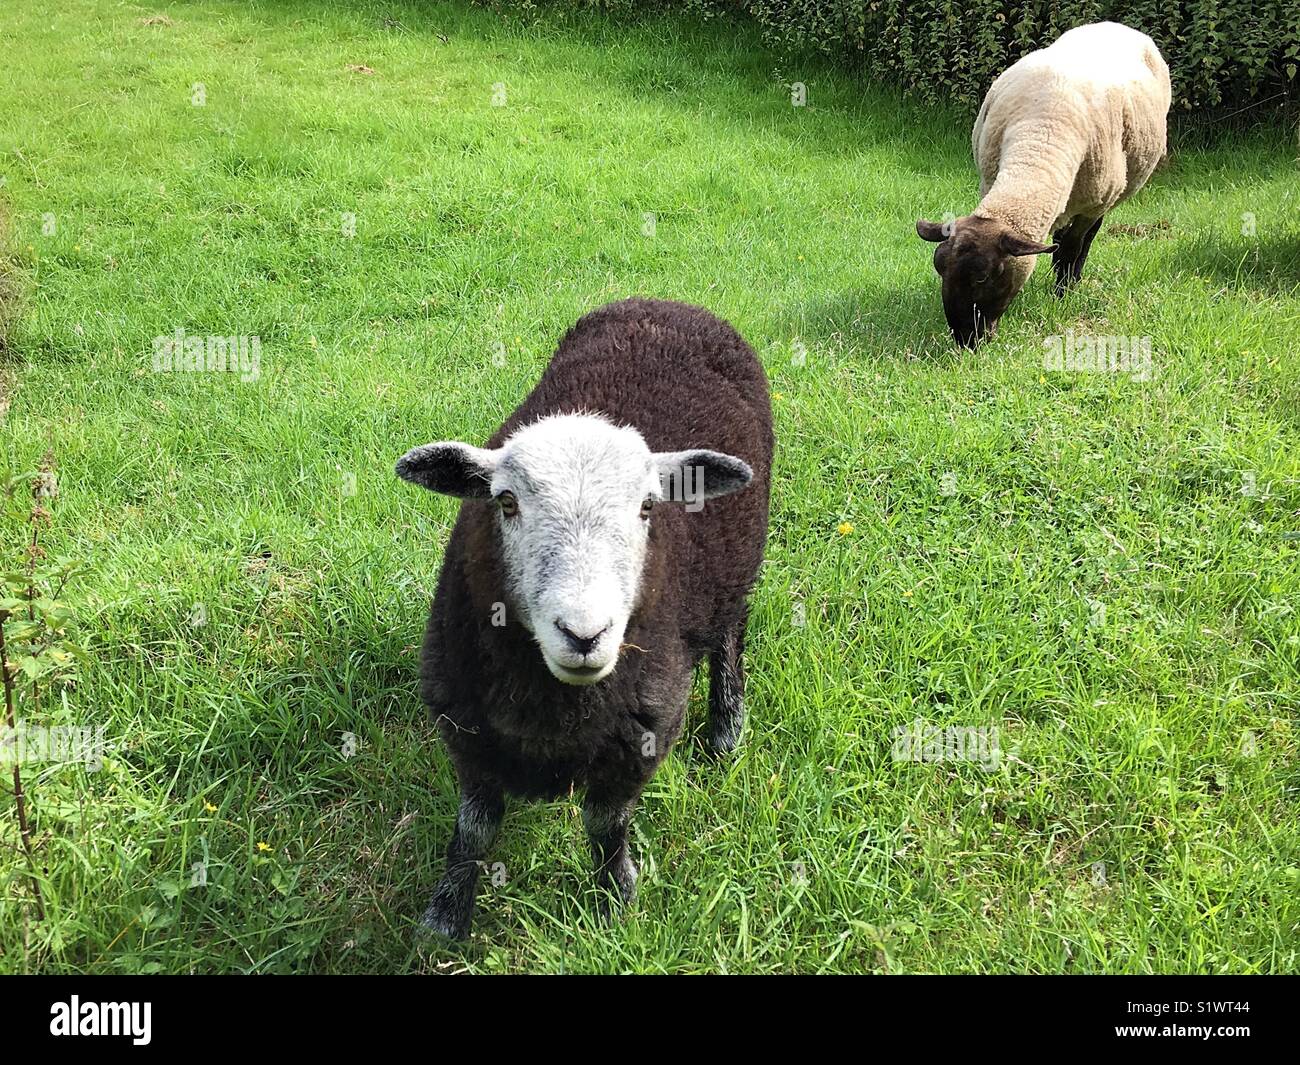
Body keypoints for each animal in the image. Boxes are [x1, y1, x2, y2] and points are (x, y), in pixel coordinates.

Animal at [395, 297, 773, 939]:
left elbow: (605, 824)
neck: (554, 701)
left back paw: (726, 731)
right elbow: (474, 827)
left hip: (740, 566)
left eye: (647, 506)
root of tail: (666, 301)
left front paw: (615, 902)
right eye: (505, 502)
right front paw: (445, 916)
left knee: (729, 636)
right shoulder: (463, 719)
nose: (584, 634)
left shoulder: (647, 726)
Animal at [916, 21, 1171, 346]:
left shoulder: (1088, 206)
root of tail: (1118, 25)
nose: (966, 340)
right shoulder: (991, 180)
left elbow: (1071, 249)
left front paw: (1062, 295)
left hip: (1102, 196)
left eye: (983, 277)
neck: (1040, 139)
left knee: (1085, 237)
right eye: (939, 269)